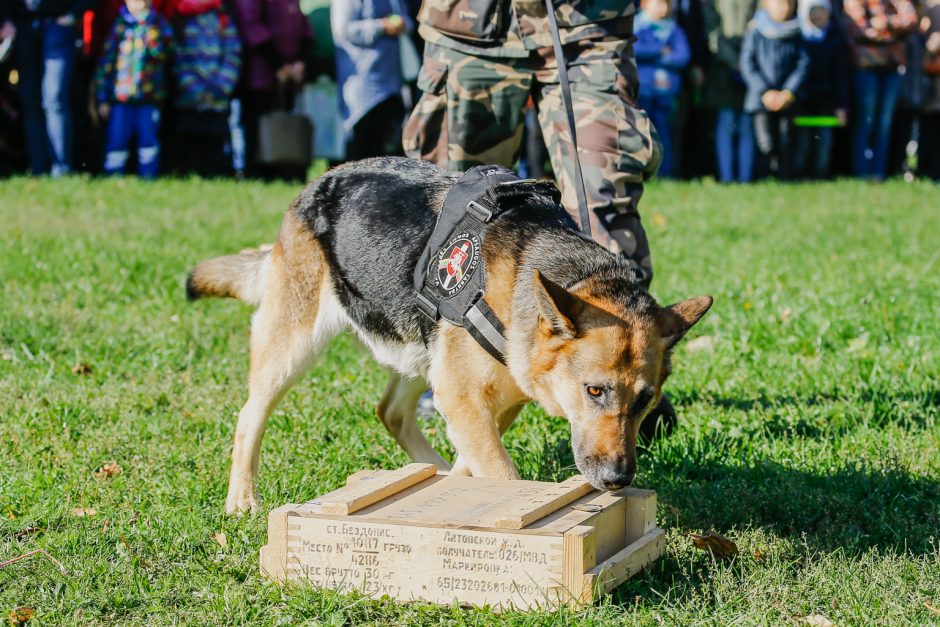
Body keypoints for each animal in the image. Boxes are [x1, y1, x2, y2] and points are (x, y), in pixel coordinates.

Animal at [187, 158, 708, 516]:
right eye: (594, 391)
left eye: (644, 401)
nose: (618, 479)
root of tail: (316, 184)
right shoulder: (463, 396)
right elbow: (503, 476)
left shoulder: (491, 401)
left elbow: (473, 463)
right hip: (293, 348)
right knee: (249, 415)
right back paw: (242, 498)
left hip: (422, 352)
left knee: (392, 412)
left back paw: (429, 470)